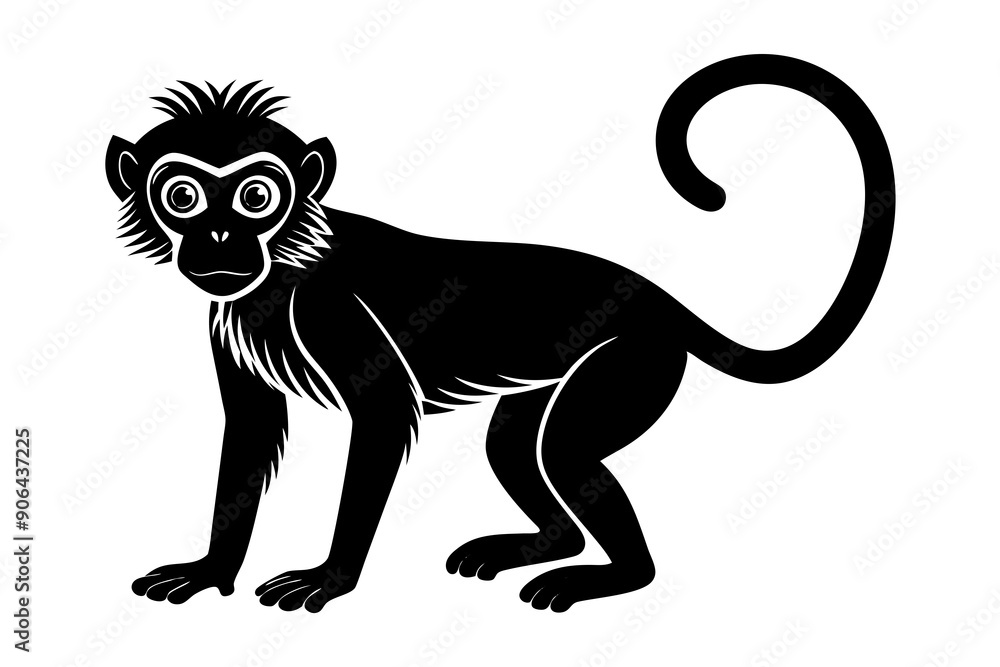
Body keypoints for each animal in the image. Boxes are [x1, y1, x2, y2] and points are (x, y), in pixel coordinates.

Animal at [105, 54, 894, 614]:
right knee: (515, 445)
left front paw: (332, 576)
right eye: (182, 196)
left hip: (634, 359)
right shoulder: (227, 321)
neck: (280, 274)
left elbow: (381, 417)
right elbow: (248, 431)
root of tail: (650, 293)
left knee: (566, 451)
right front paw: (212, 569)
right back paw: (545, 543)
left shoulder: (333, 308)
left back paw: (615, 575)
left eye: (256, 196)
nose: (218, 241)